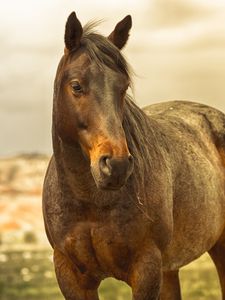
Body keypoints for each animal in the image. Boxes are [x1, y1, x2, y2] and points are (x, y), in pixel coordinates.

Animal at [42, 11, 225, 300]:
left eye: (123, 87)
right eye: (76, 86)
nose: (116, 166)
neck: (90, 203)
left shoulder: (146, 269)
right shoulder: (70, 275)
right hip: (169, 269)